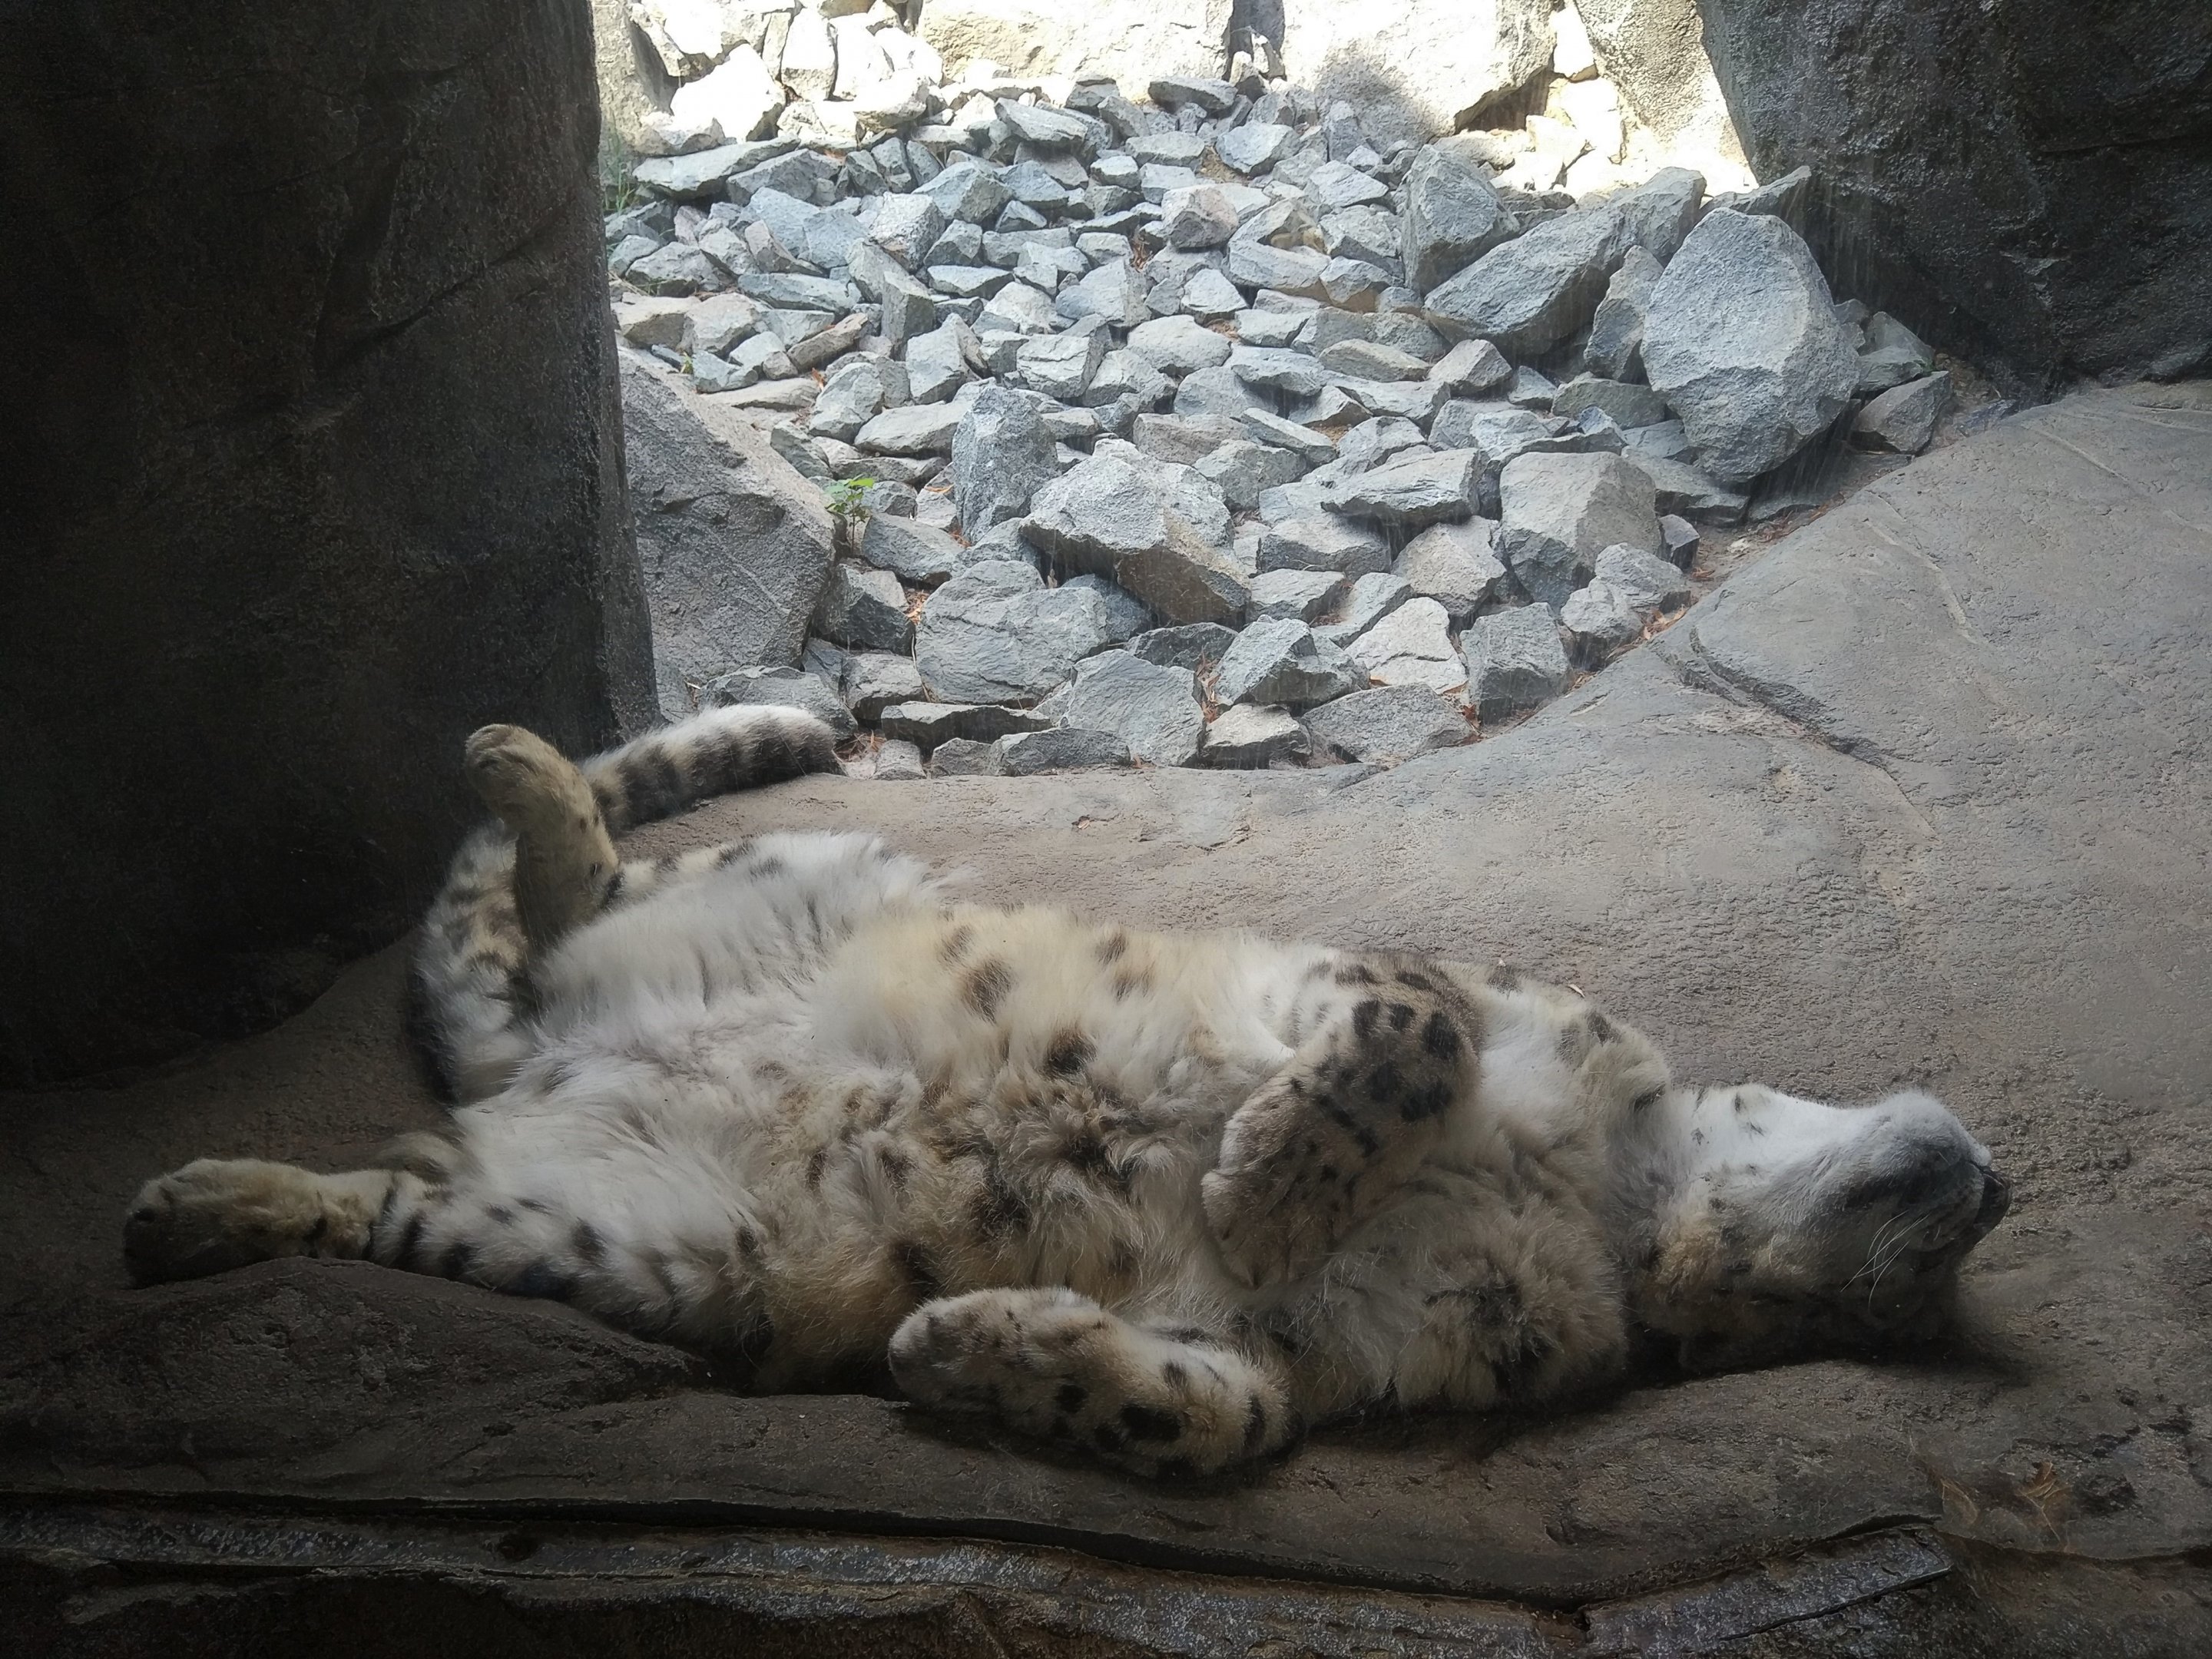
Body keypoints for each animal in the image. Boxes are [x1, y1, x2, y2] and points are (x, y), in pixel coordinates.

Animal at [123, 705, 2011, 1476]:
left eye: (1871, 1330)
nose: (1994, 1193)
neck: (1601, 1209)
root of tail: (561, 1063)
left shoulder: (1337, 1356)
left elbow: (1218, 1415)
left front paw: (974, 1347)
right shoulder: (1435, 987)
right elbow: (1418, 1033)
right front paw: (1267, 1180)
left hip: (620, 1241)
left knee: (392, 1194)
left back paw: (199, 1207)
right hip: (807, 866)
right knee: (578, 883)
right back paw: (519, 767)